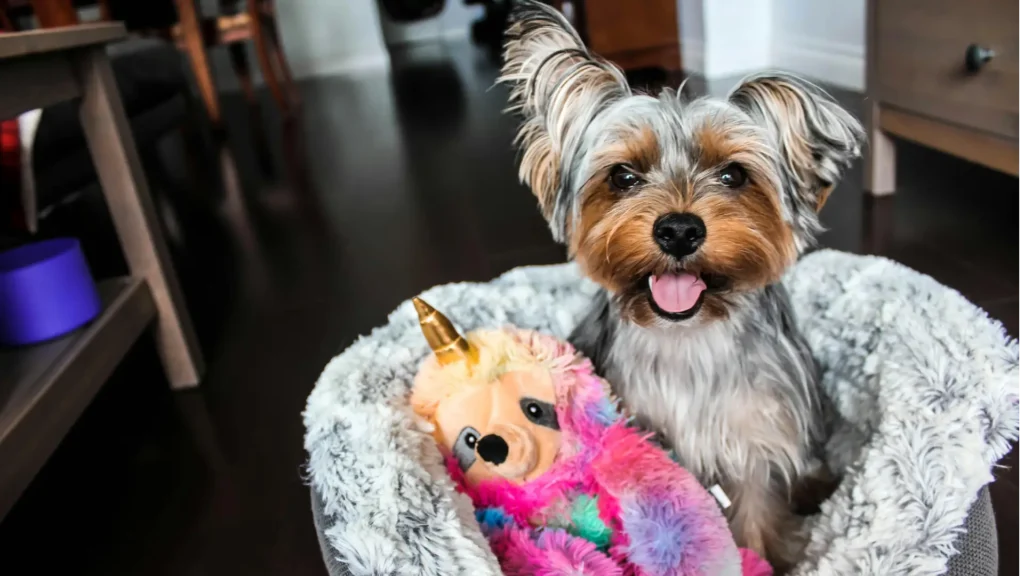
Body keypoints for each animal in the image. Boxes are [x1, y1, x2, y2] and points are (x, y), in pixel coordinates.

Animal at [497, 0, 864, 565]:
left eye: (734, 175)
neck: (688, 334)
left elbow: (755, 516)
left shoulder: (757, 439)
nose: (679, 230)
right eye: (623, 177)